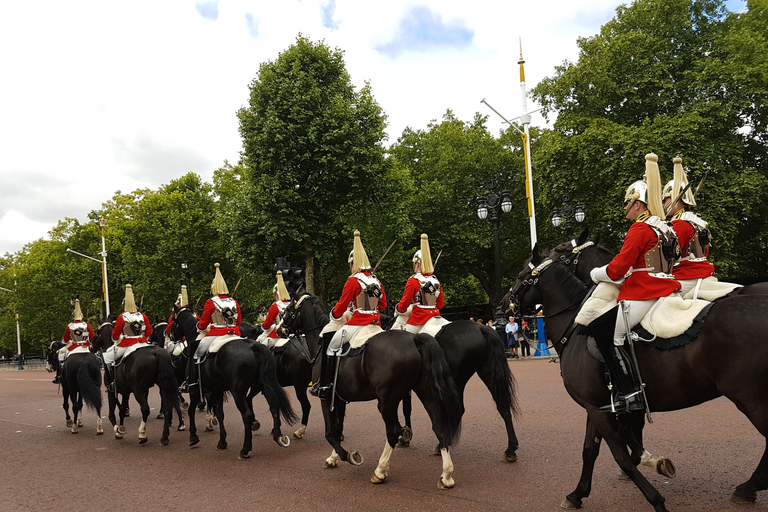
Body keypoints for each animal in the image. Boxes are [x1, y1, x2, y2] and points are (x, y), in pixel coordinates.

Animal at [171, 306, 296, 458]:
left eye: (173, 321)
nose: (170, 336)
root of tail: (253, 347)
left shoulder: (195, 388)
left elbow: (191, 410)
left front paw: (193, 437)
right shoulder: (216, 390)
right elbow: (220, 414)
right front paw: (222, 441)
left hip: (238, 392)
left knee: (246, 415)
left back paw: (245, 449)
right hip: (263, 385)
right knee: (274, 405)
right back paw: (278, 436)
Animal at [280, 292, 462, 488]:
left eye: (289, 309)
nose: (281, 328)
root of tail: (414, 339)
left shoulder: (325, 397)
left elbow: (330, 433)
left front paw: (347, 456)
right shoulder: (339, 398)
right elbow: (338, 428)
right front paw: (333, 457)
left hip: (387, 402)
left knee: (393, 431)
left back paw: (380, 471)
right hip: (425, 391)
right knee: (439, 425)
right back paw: (446, 475)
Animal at [396, 320, 520, 460]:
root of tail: (480, 327)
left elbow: (406, 409)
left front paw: (405, 438)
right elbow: (406, 408)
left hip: (456, 380)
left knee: (457, 410)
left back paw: (442, 444)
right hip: (488, 373)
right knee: (503, 406)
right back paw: (510, 450)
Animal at [510, 246, 768, 510]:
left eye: (521, 275)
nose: (503, 307)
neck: (577, 327)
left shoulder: (599, 407)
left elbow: (620, 454)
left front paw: (655, 497)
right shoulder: (599, 406)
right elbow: (591, 449)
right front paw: (578, 493)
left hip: (751, 399)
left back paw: (748, 488)